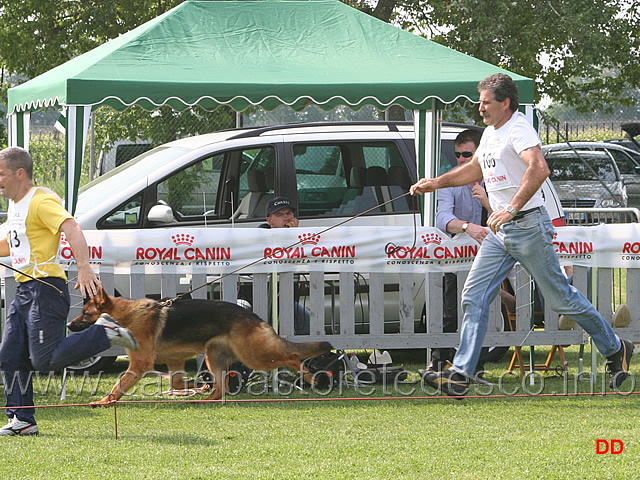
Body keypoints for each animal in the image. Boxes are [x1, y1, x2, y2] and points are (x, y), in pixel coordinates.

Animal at [67, 288, 332, 404]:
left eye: (86, 314)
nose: (69, 325)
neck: (127, 316)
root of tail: (254, 317)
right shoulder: (174, 362)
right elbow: (177, 382)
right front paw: (198, 386)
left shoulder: (139, 365)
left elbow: (118, 385)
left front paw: (104, 401)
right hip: (214, 358)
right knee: (222, 387)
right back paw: (204, 398)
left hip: (253, 355)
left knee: (291, 357)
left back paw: (309, 375)